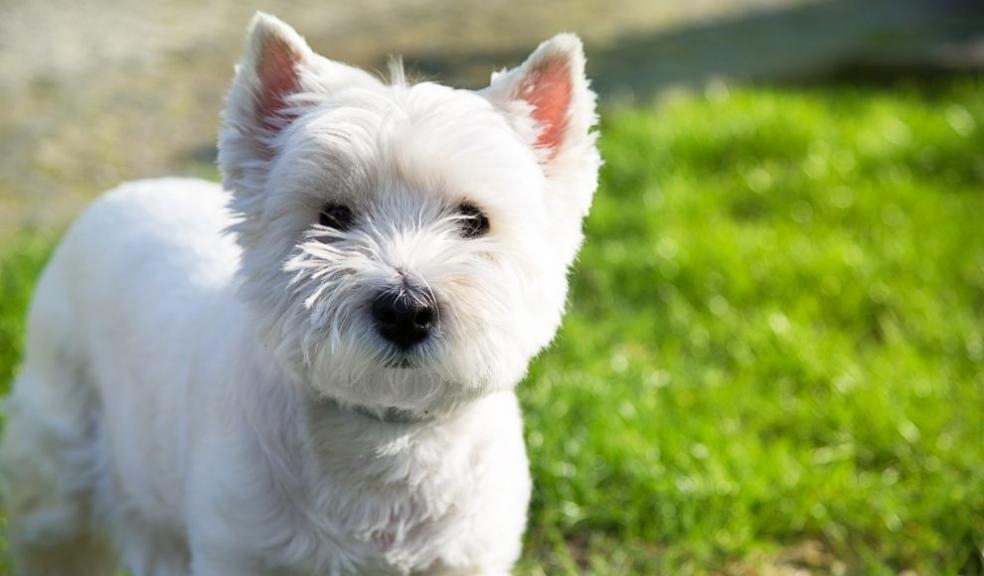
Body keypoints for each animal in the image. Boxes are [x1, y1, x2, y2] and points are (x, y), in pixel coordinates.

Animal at [0, 13, 600, 576]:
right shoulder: (241, 548)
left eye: (474, 220)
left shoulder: (465, 556)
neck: (384, 441)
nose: (406, 311)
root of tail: (125, 190)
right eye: (333, 215)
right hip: (57, 470)